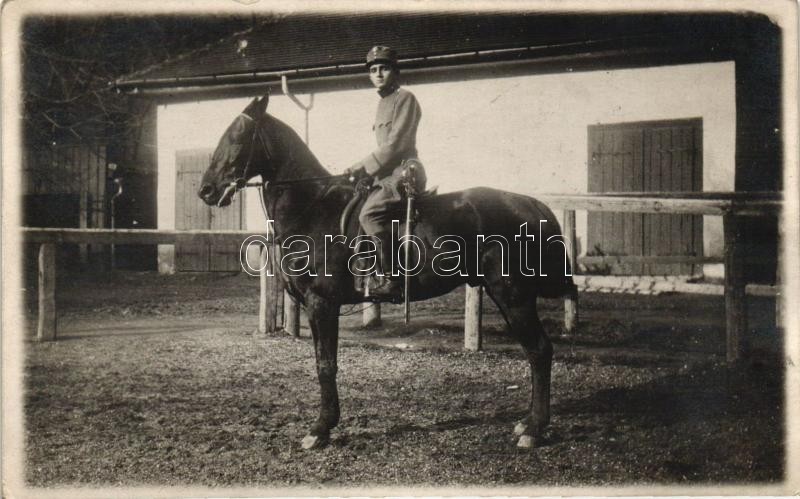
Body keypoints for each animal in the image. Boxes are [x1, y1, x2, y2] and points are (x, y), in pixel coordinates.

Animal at [199, 93, 576, 450]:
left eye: (238, 136)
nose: (206, 190)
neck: (313, 207)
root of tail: (529, 203)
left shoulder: (322, 304)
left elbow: (326, 365)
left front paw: (320, 430)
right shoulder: (313, 307)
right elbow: (322, 361)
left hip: (513, 295)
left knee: (540, 351)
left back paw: (534, 430)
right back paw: (527, 423)